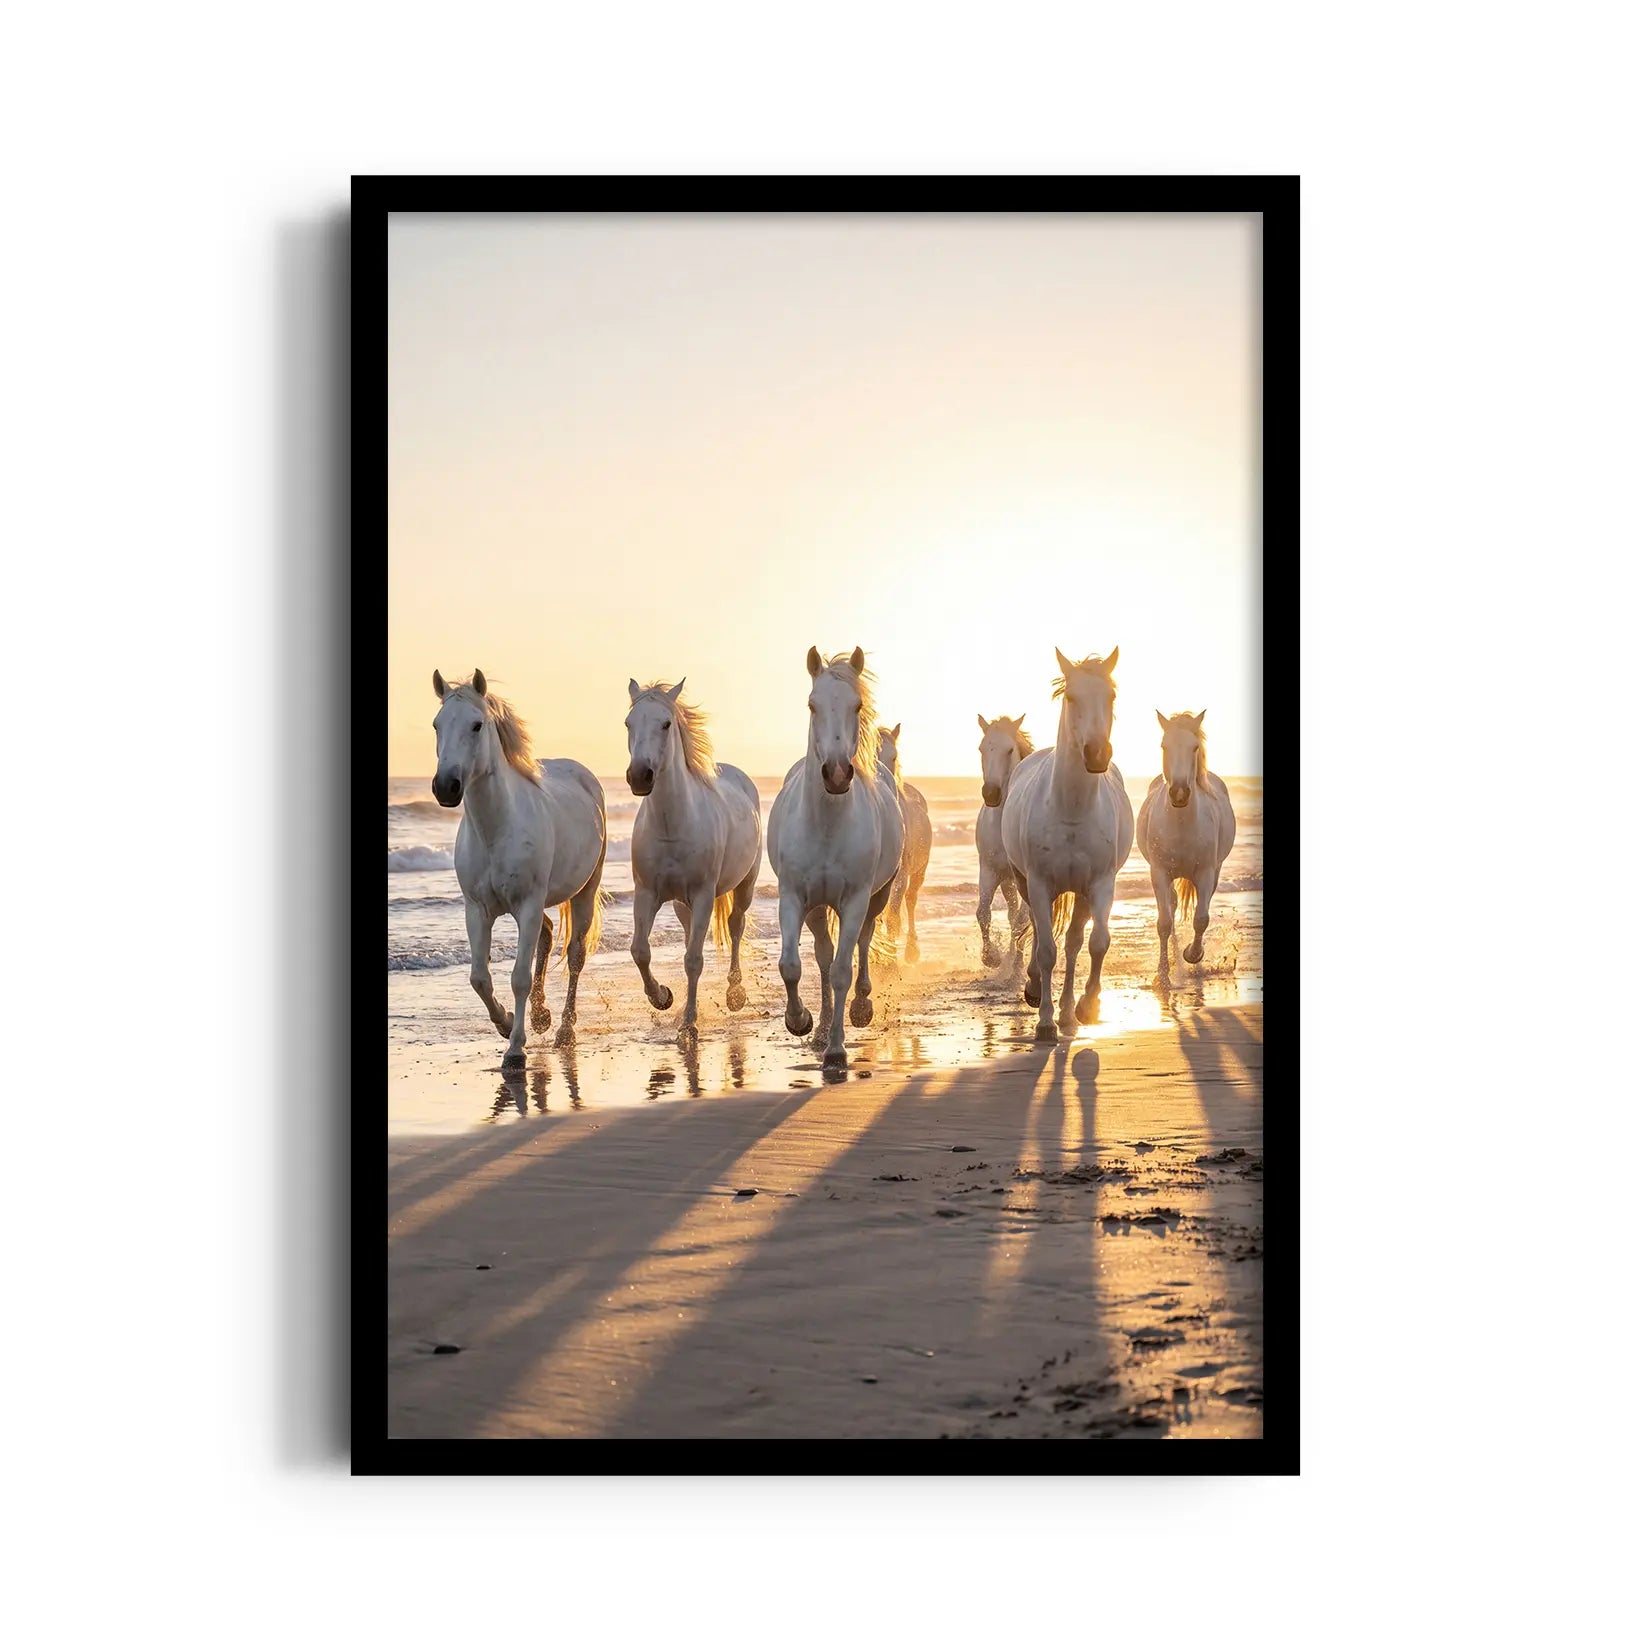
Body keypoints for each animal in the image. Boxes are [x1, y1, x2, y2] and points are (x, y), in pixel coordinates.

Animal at [430, 669, 607, 1067]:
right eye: (436, 725)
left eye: (477, 725)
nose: (446, 786)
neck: (496, 830)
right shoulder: (477, 909)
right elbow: (480, 977)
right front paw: (507, 1023)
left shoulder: (526, 905)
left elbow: (520, 977)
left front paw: (514, 1049)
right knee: (547, 933)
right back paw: (542, 1017)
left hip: (583, 891)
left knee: (575, 954)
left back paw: (564, 1030)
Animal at [623, 676, 763, 1039]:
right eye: (628, 723)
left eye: (665, 723)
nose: (639, 776)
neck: (672, 824)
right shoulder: (647, 893)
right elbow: (640, 950)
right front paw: (663, 998)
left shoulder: (702, 895)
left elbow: (694, 960)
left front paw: (688, 1025)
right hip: (680, 903)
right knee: (689, 936)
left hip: (744, 885)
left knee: (736, 926)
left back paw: (734, 995)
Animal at [766, 647, 904, 1072]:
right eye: (812, 705)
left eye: (857, 705)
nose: (838, 774)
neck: (827, 822)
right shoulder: (793, 897)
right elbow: (792, 965)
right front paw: (800, 1021)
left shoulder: (856, 899)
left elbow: (844, 969)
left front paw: (837, 1051)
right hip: (816, 907)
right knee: (823, 957)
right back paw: (823, 1027)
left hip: (876, 897)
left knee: (862, 942)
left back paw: (859, 1008)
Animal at [1000, 647, 1135, 1041]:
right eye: (1072, 697)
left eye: (1111, 696)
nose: (1096, 754)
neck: (1072, 808)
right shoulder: (1040, 883)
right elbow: (1047, 950)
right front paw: (1044, 1022)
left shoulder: (1100, 884)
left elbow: (1097, 942)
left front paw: (1086, 1007)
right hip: (1026, 883)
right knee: (1035, 928)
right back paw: (1036, 991)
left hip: (1082, 893)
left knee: (1075, 942)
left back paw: (1069, 1013)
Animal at [1136, 709, 1237, 974]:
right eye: (1164, 745)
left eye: (1194, 747)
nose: (1179, 792)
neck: (1181, 825)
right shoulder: (1159, 872)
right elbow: (1163, 921)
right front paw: (1163, 970)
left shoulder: (1206, 872)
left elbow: (1201, 918)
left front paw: (1193, 954)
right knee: (1171, 904)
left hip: (1215, 871)